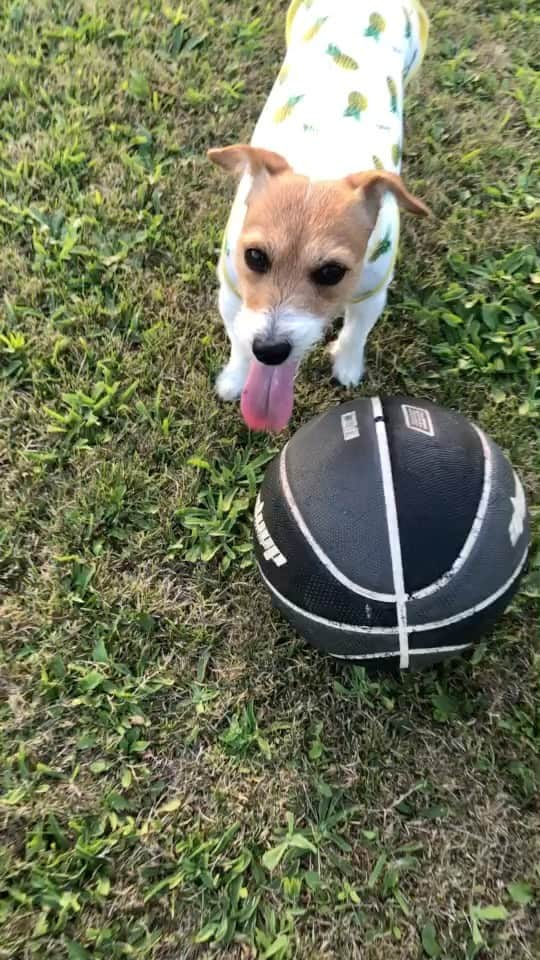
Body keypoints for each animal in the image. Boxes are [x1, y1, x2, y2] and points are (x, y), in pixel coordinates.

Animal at [208, 0, 430, 432]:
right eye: (254, 257)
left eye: (331, 272)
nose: (271, 350)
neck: (322, 160)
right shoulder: (232, 290)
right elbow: (238, 338)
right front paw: (235, 377)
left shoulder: (371, 292)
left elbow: (357, 332)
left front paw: (347, 365)